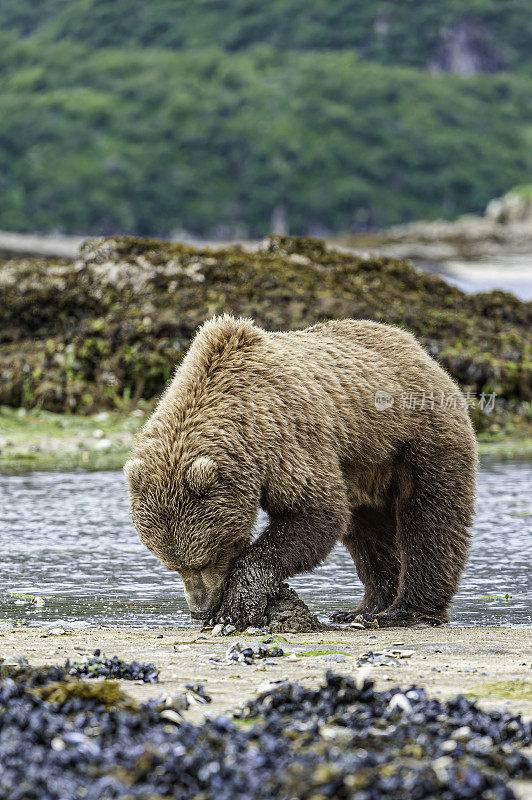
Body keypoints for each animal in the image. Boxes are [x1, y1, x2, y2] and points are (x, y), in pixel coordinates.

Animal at [124, 316, 478, 628]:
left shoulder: (286, 437)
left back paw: (408, 610)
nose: (200, 609)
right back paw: (363, 609)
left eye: (209, 556)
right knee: (369, 532)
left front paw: (235, 608)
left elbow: (315, 511)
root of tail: (417, 348)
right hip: (364, 467)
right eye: (172, 565)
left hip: (418, 438)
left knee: (429, 519)